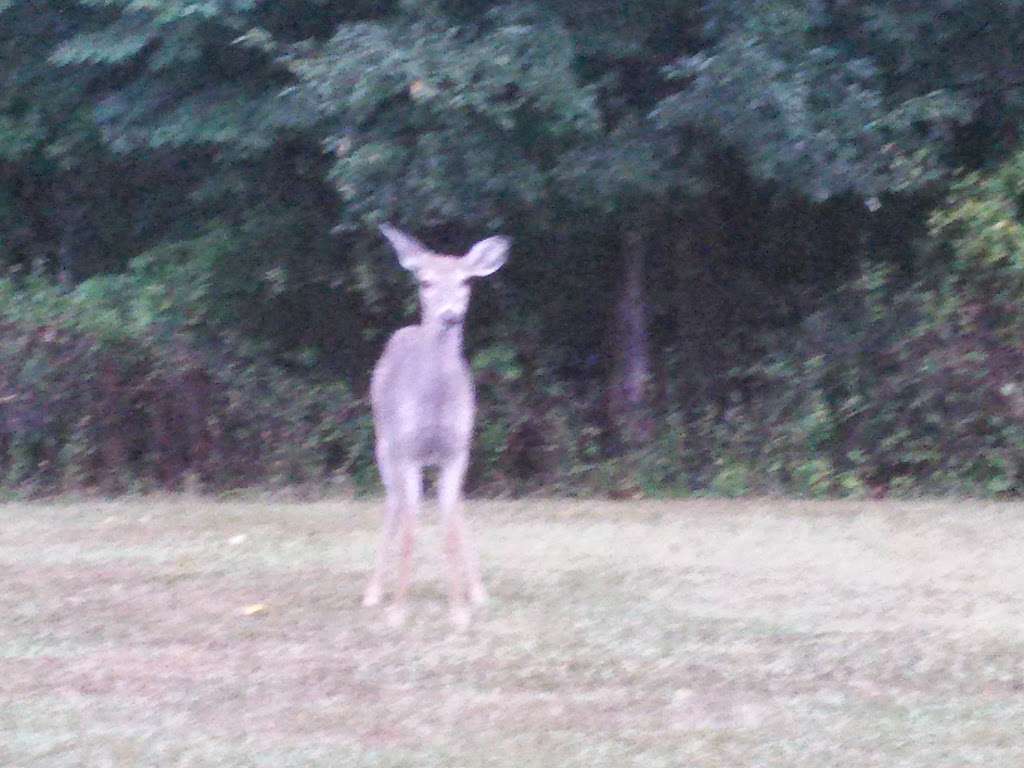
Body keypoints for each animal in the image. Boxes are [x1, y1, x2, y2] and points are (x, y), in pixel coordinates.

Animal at [364, 224, 512, 630]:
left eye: (466, 282)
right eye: (425, 282)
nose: (450, 317)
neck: (434, 405)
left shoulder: (457, 450)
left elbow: (449, 529)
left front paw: (459, 611)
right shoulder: (408, 452)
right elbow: (411, 528)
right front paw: (398, 612)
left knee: (454, 509)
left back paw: (477, 591)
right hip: (384, 442)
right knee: (394, 504)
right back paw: (373, 593)